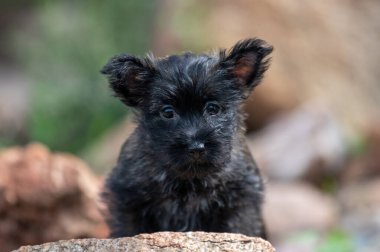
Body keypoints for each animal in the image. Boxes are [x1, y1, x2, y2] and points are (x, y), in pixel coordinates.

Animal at [101, 38, 274, 238]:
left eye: (213, 108)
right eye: (168, 112)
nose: (196, 147)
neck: (190, 180)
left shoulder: (242, 198)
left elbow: (238, 228)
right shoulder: (128, 199)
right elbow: (129, 229)